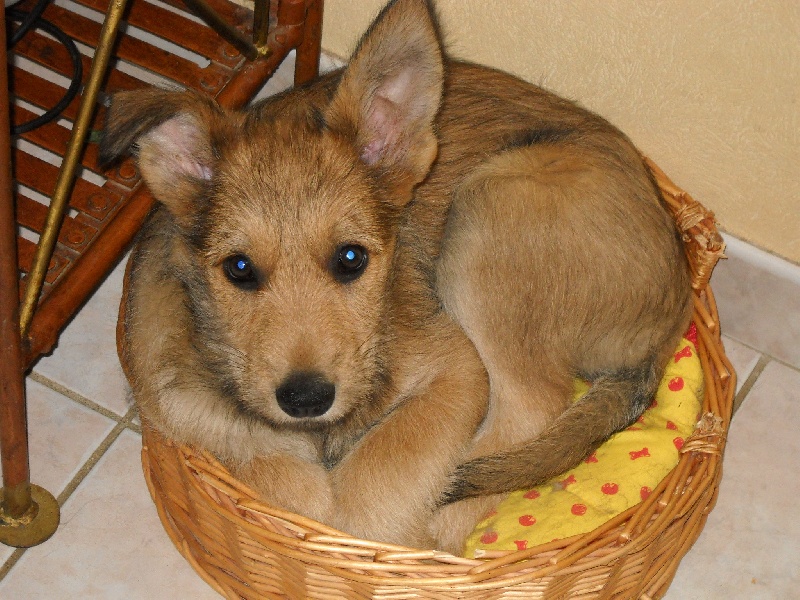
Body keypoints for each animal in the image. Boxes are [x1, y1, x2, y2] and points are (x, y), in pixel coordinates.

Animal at [102, 0, 691, 554]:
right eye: (239, 269)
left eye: (350, 259)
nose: (306, 399)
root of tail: (679, 293)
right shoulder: (186, 412)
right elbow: (282, 477)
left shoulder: (456, 368)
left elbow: (376, 478)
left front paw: (385, 540)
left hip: (489, 209)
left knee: (531, 408)